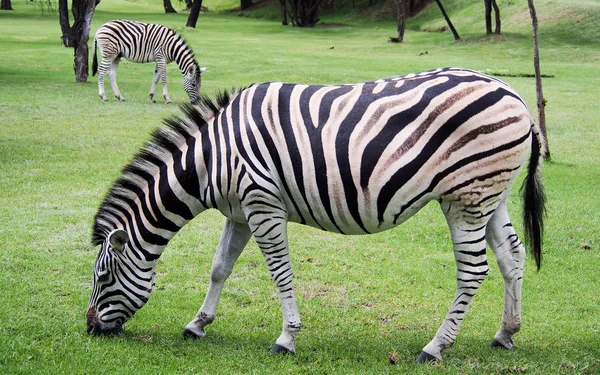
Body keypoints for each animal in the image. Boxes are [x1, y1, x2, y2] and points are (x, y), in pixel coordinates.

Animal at [86, 68, 548, 364]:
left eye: (103, 277)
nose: (90, 329)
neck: (211, 159)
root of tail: (516, 96)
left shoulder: (262, 204)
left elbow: (280, 273)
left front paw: (286, 338)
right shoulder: (239, 213)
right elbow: (219, 268)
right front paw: (197, 324)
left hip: (465, 197)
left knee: (473, 271)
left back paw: (434, 347)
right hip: (490, 194)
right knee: (511, 256)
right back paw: (506, 333)